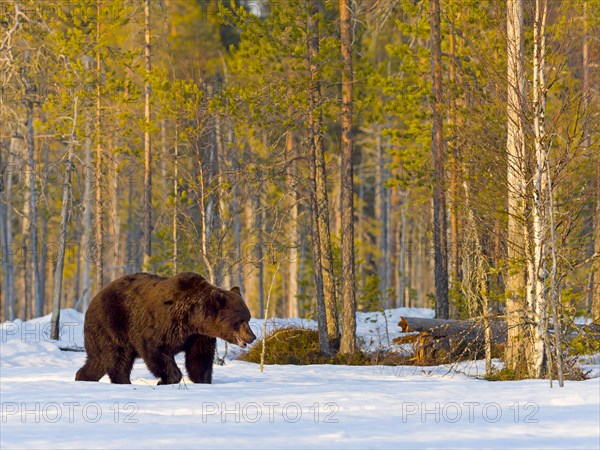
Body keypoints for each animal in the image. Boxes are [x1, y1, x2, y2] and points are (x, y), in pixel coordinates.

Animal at [75, 272, 255, 384]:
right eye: (241, 320)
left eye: (248, 317)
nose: (252, 337)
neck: (193, 318)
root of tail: (93, 300)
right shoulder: (163, 324)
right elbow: (156, 350)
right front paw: (166, 380)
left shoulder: (198, 336)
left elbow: (199, 358)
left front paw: (202, 380)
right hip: (112, 324)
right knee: (118, 357)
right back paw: (124, 381)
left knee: (99, 360)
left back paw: (82, 377)